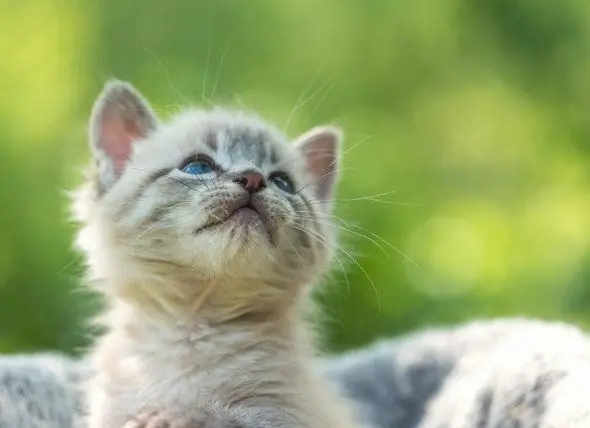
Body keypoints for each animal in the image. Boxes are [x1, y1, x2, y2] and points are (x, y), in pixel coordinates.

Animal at [75, 80, 368, 428]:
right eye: (198, 166)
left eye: (282, 182)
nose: (253, 178)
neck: (195, 325)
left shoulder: (282, 418)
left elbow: (216, 418)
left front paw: (170, 417)